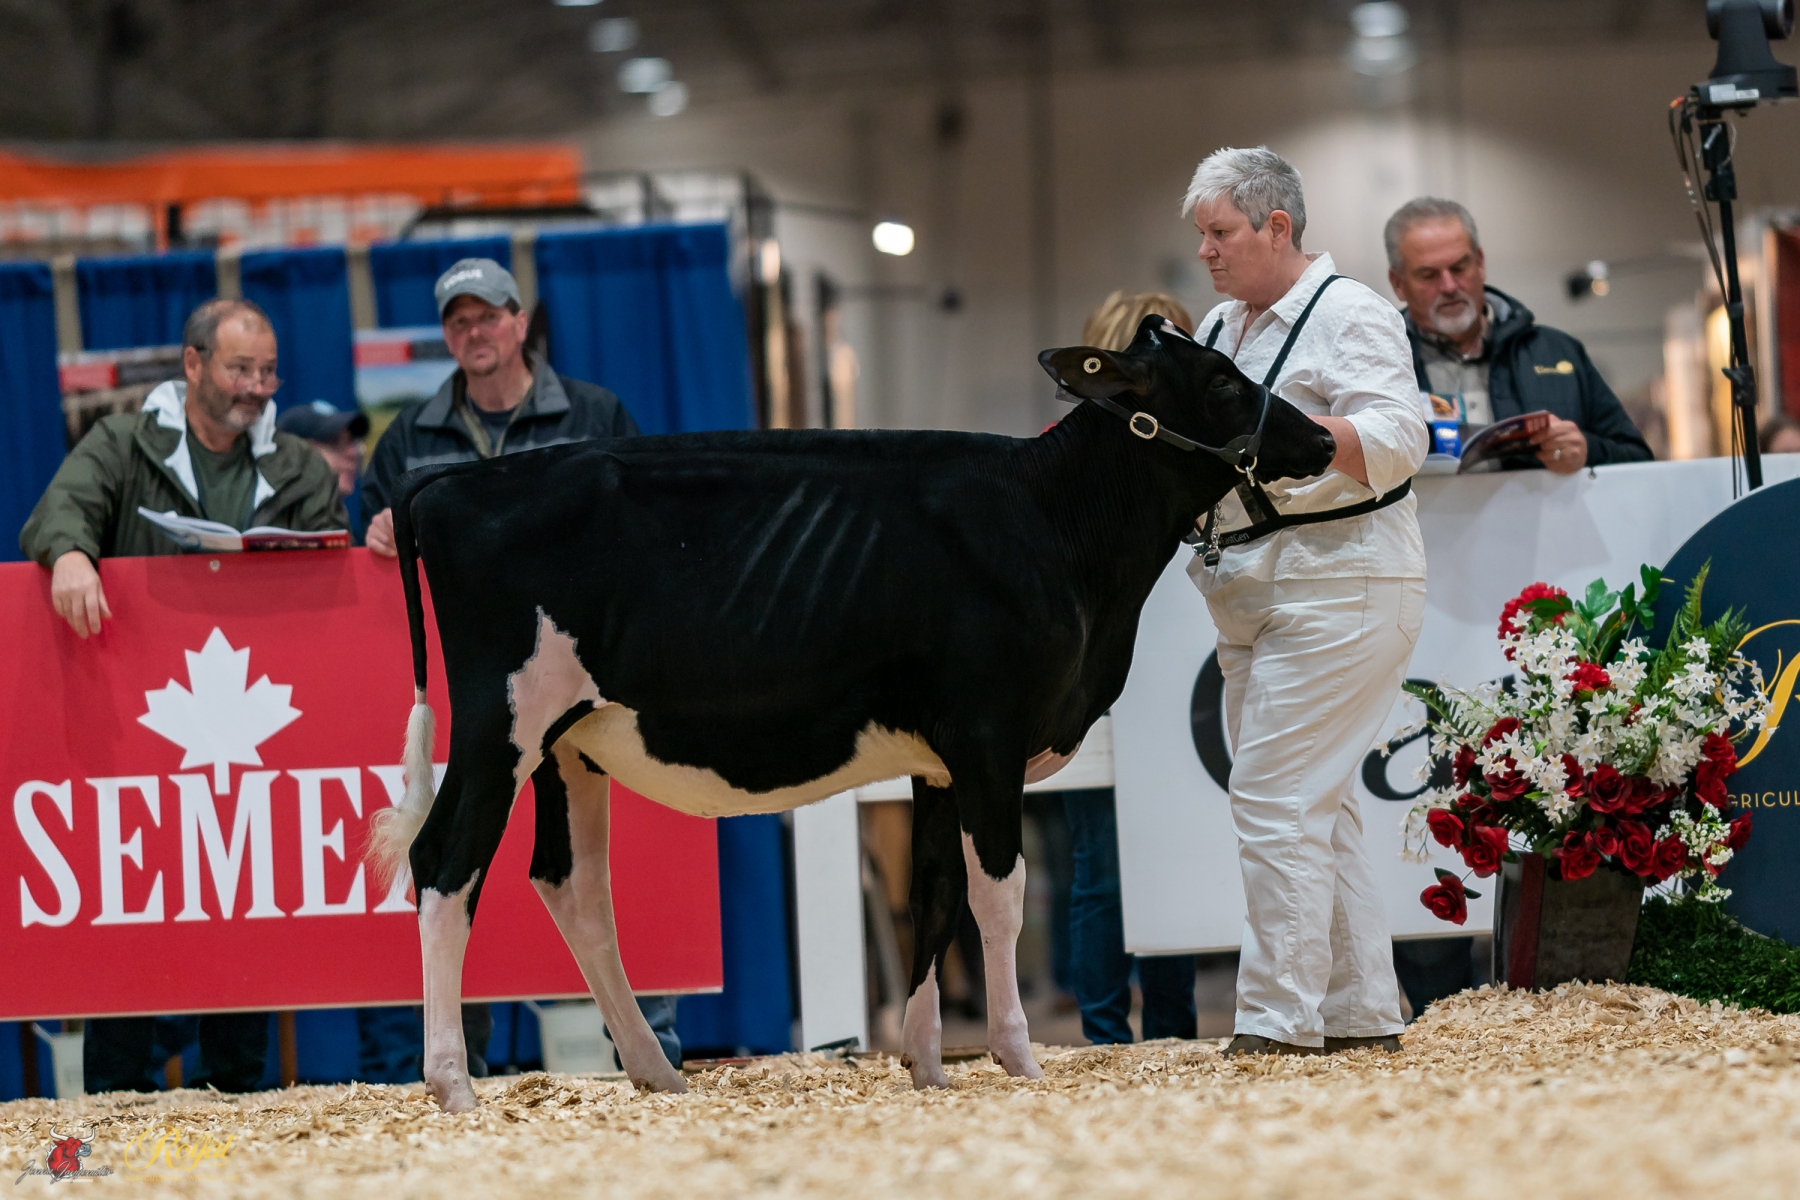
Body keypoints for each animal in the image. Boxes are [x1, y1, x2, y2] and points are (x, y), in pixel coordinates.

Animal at [368, 314, 1337, 1111]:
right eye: (1221, 381)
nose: (1326, 437)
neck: (1054, 523)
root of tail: (450, 483)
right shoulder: (987, 739)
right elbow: (999, 896)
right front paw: (1018, 1058)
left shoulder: (939, 762)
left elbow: (933, 896)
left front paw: (928, 1065)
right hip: (501, 726)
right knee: (445, 862)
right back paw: (452, 1082)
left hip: (572, 744)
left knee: (574, 885)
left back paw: (653, 1069)